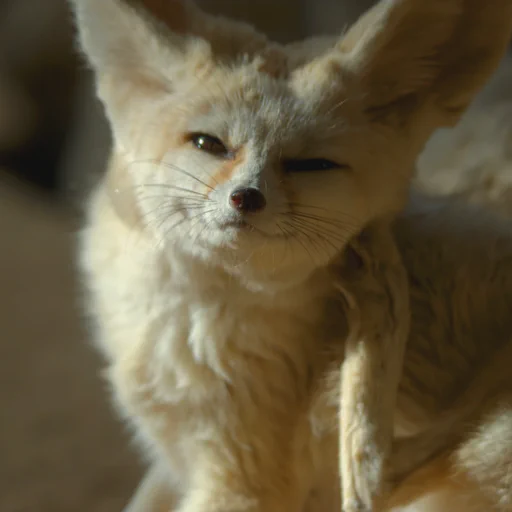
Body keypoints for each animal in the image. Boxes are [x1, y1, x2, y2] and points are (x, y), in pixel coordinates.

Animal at [70, 0, 512, 510]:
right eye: (208, 144)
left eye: (312, 165)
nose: (247, 197)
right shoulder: (180, 458)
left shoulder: (243, 480)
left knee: (377, 479)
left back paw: (379, 298)